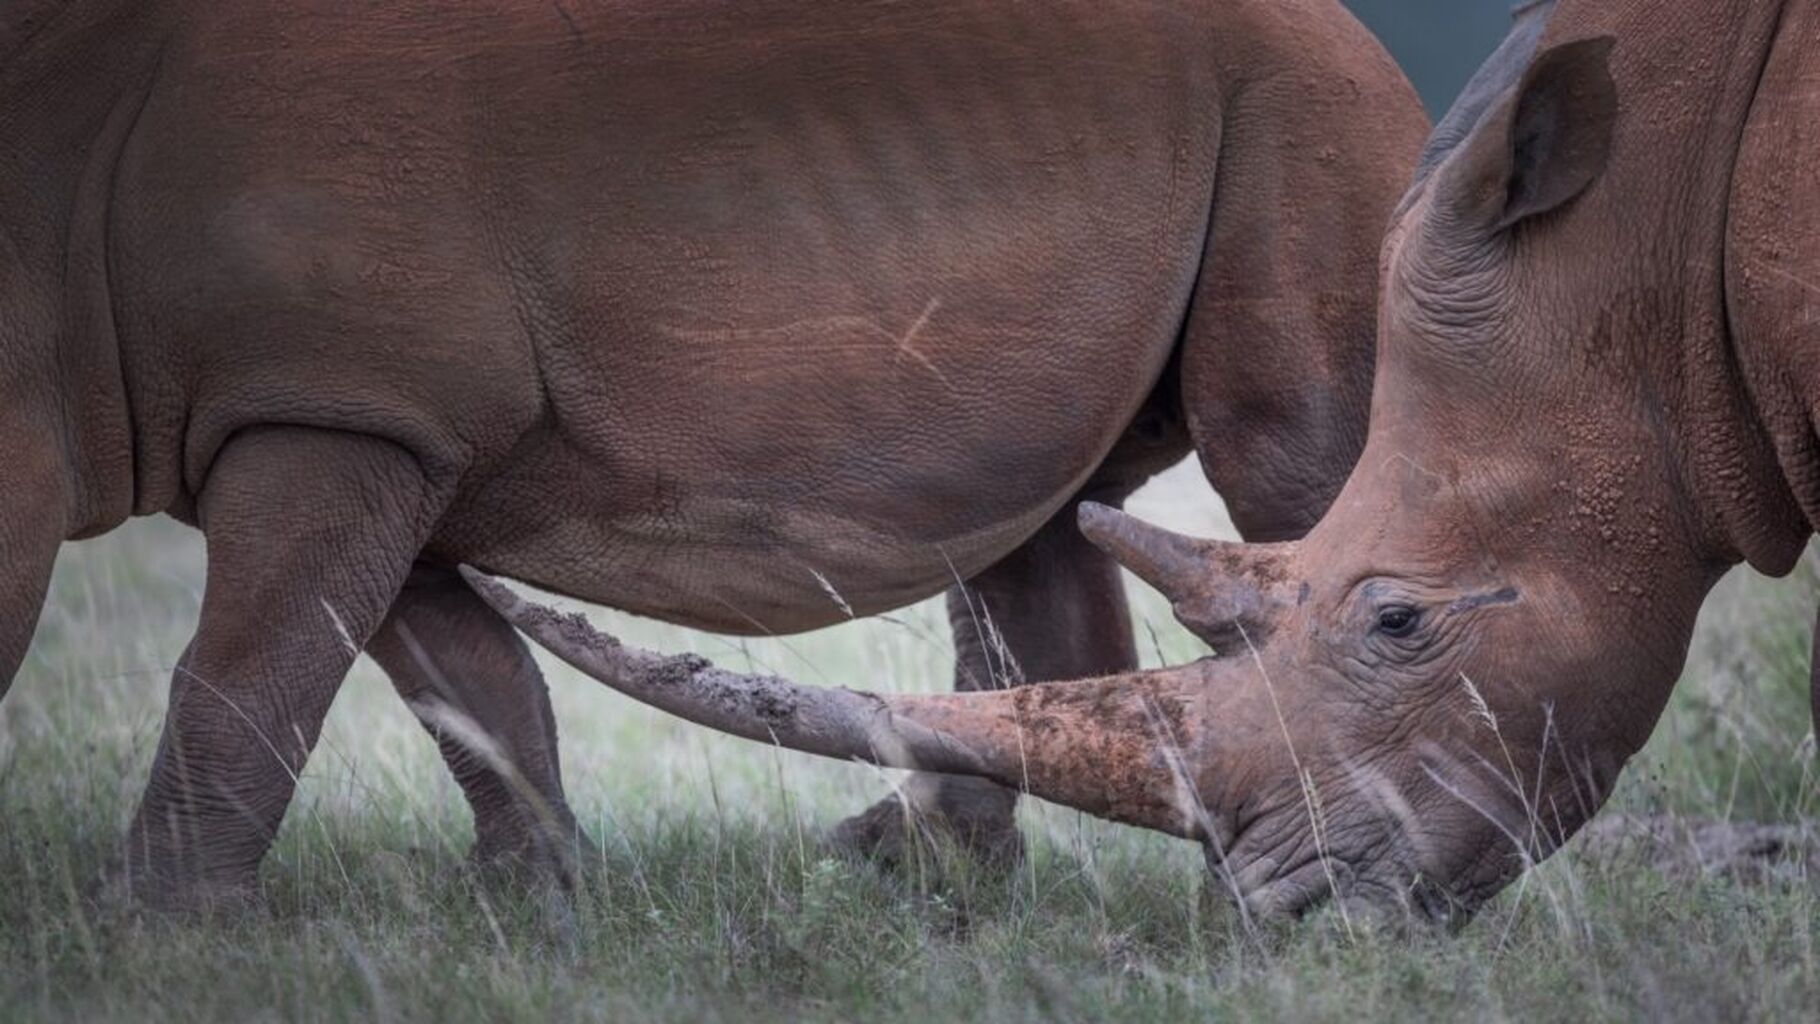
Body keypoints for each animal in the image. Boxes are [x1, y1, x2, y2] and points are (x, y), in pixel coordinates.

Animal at [0, 1, 1425, 905]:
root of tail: (1366, 48)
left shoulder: (336, 407)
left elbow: (250, 669)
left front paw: (155, 928)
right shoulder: (376, 421)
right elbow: (446, 667)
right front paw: (537, 901)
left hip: (1300, 109)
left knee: (1296, 464)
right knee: (1036, 520)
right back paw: (905, 879)